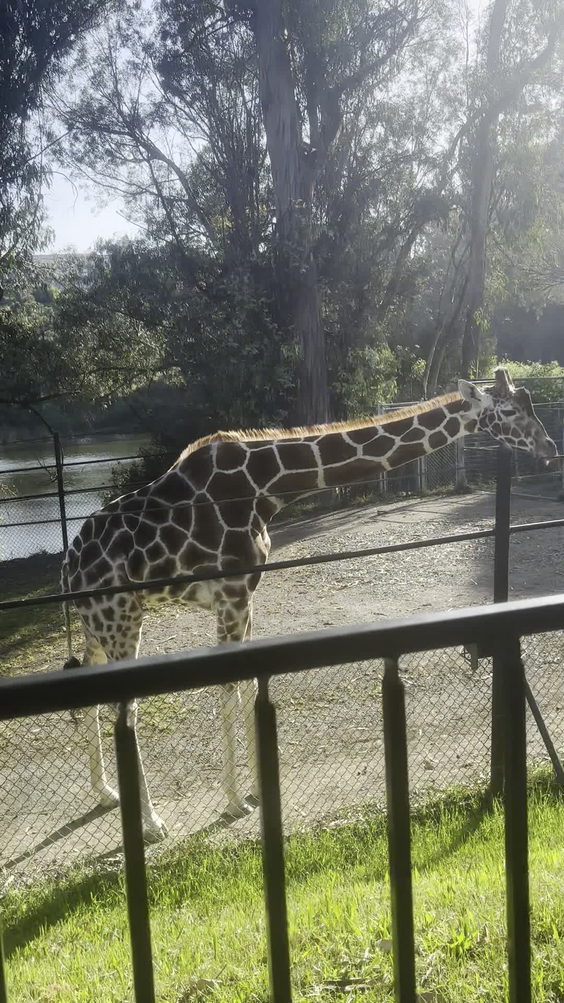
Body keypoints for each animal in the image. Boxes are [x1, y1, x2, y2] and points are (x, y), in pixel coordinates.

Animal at [63, 367, 556, 840]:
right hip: (121, 618)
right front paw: (234, 803)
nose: (549, 446)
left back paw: (105, 794)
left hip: (98, 624)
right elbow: (229, 691)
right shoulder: (232, 594)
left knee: (88, 693)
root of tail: (70, 565)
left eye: (530, 402)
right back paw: (151, 824)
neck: (267, 486)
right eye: (509, 411)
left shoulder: (248, 595)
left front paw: (259, 789)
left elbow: (250, 686)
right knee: (125, 713)